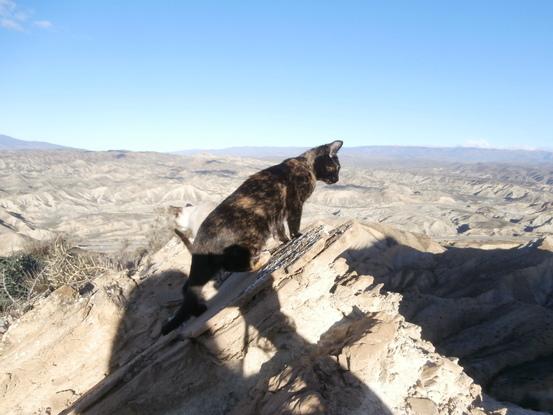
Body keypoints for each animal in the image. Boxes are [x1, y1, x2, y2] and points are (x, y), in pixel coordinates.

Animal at [161, 141, 340, 336]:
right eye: (336, 167)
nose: (337, 179)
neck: (307, 165)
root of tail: (200, 239)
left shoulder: (278, 213)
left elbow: (279, 230)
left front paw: (286, 242)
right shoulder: (294, 203)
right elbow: (293, 223)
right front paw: (297, 236)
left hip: (207, 267)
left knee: (189, 287)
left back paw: (198, 309)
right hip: (252, 236)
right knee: (231, 265)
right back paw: (261, 259)